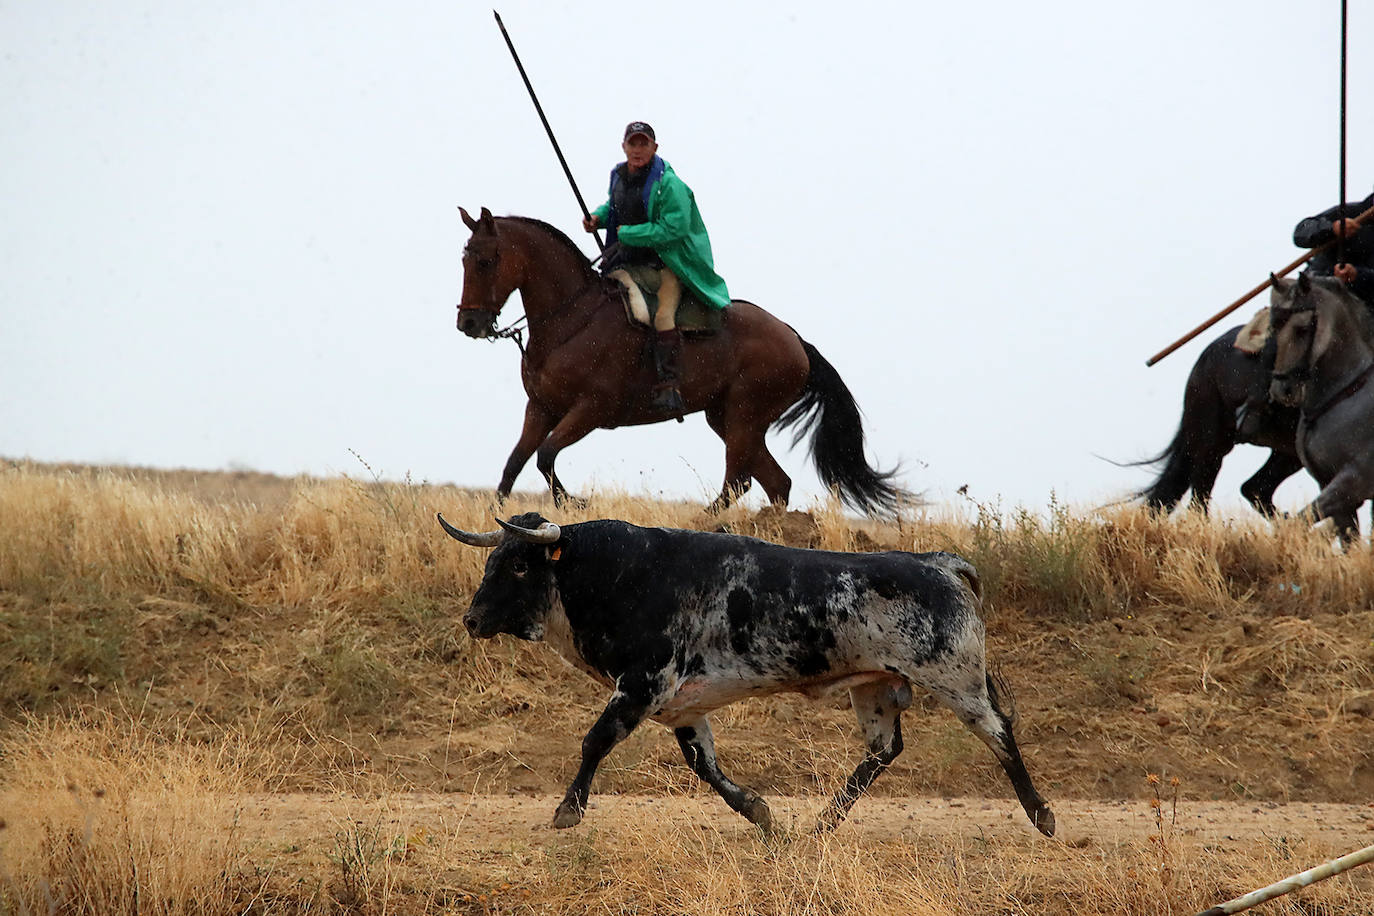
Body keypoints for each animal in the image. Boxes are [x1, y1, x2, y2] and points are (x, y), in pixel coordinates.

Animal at [436, 513, 1049, 834]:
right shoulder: (682, 705)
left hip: (957, 681)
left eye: (520, 565)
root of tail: (938, 561)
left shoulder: (643, 685)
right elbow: (704, 765)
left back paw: (1043, 817)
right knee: (882, 751)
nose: (472, 620)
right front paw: (761, 813)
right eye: (492, 561)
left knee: (999, 734)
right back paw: (821, 824)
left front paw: (568, 810)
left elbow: (596, 741)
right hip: (874, 687)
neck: (618, 574)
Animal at [456, 210, 906, 519]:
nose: (468, 324)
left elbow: (545, 456)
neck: (572, 318)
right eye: (464, 258)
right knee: (775, 482)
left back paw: (704, 524)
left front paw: (575, 504)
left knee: (738, 480)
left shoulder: (590, 410)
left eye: (486, 261)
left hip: (744, 414)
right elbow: (515, 464)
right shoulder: (541, 407)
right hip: (727, 418)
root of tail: (795, 339)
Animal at [1264, 271, 1374, 543]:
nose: (1282, 390)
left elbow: (1301, 520)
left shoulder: (1353, 482)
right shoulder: (1333, 490)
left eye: (1302, 329)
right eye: (1274, 328)